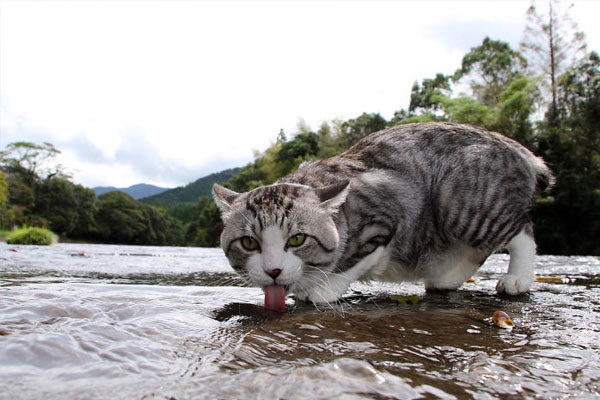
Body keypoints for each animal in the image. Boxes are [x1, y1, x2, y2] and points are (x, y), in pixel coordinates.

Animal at [213, 122, 556, 304]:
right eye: (249, 243)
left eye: (297, 239)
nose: (273, 271)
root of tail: (517, 148)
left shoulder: (387, 216)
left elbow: (352, 262)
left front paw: (323, 289)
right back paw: (447, 278)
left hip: (461, 202)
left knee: (521, 230)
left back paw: (518, 278)